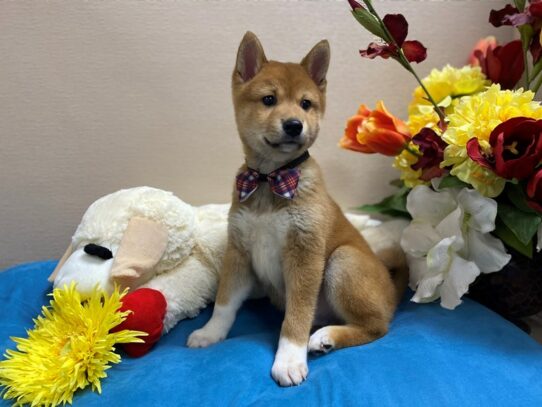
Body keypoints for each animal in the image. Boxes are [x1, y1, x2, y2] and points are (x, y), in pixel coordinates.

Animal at [188, 31, 408, 386]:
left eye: (306, 104)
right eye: (268, 99)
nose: (294, 125)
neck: (270, 179)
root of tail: (393, 287)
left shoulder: (305, 255)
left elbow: (296, 318)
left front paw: (290, 359)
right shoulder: (239, 252)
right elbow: (224, 302)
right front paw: (210, 333)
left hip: (343, 260)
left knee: (378, 327)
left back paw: (326, 337)